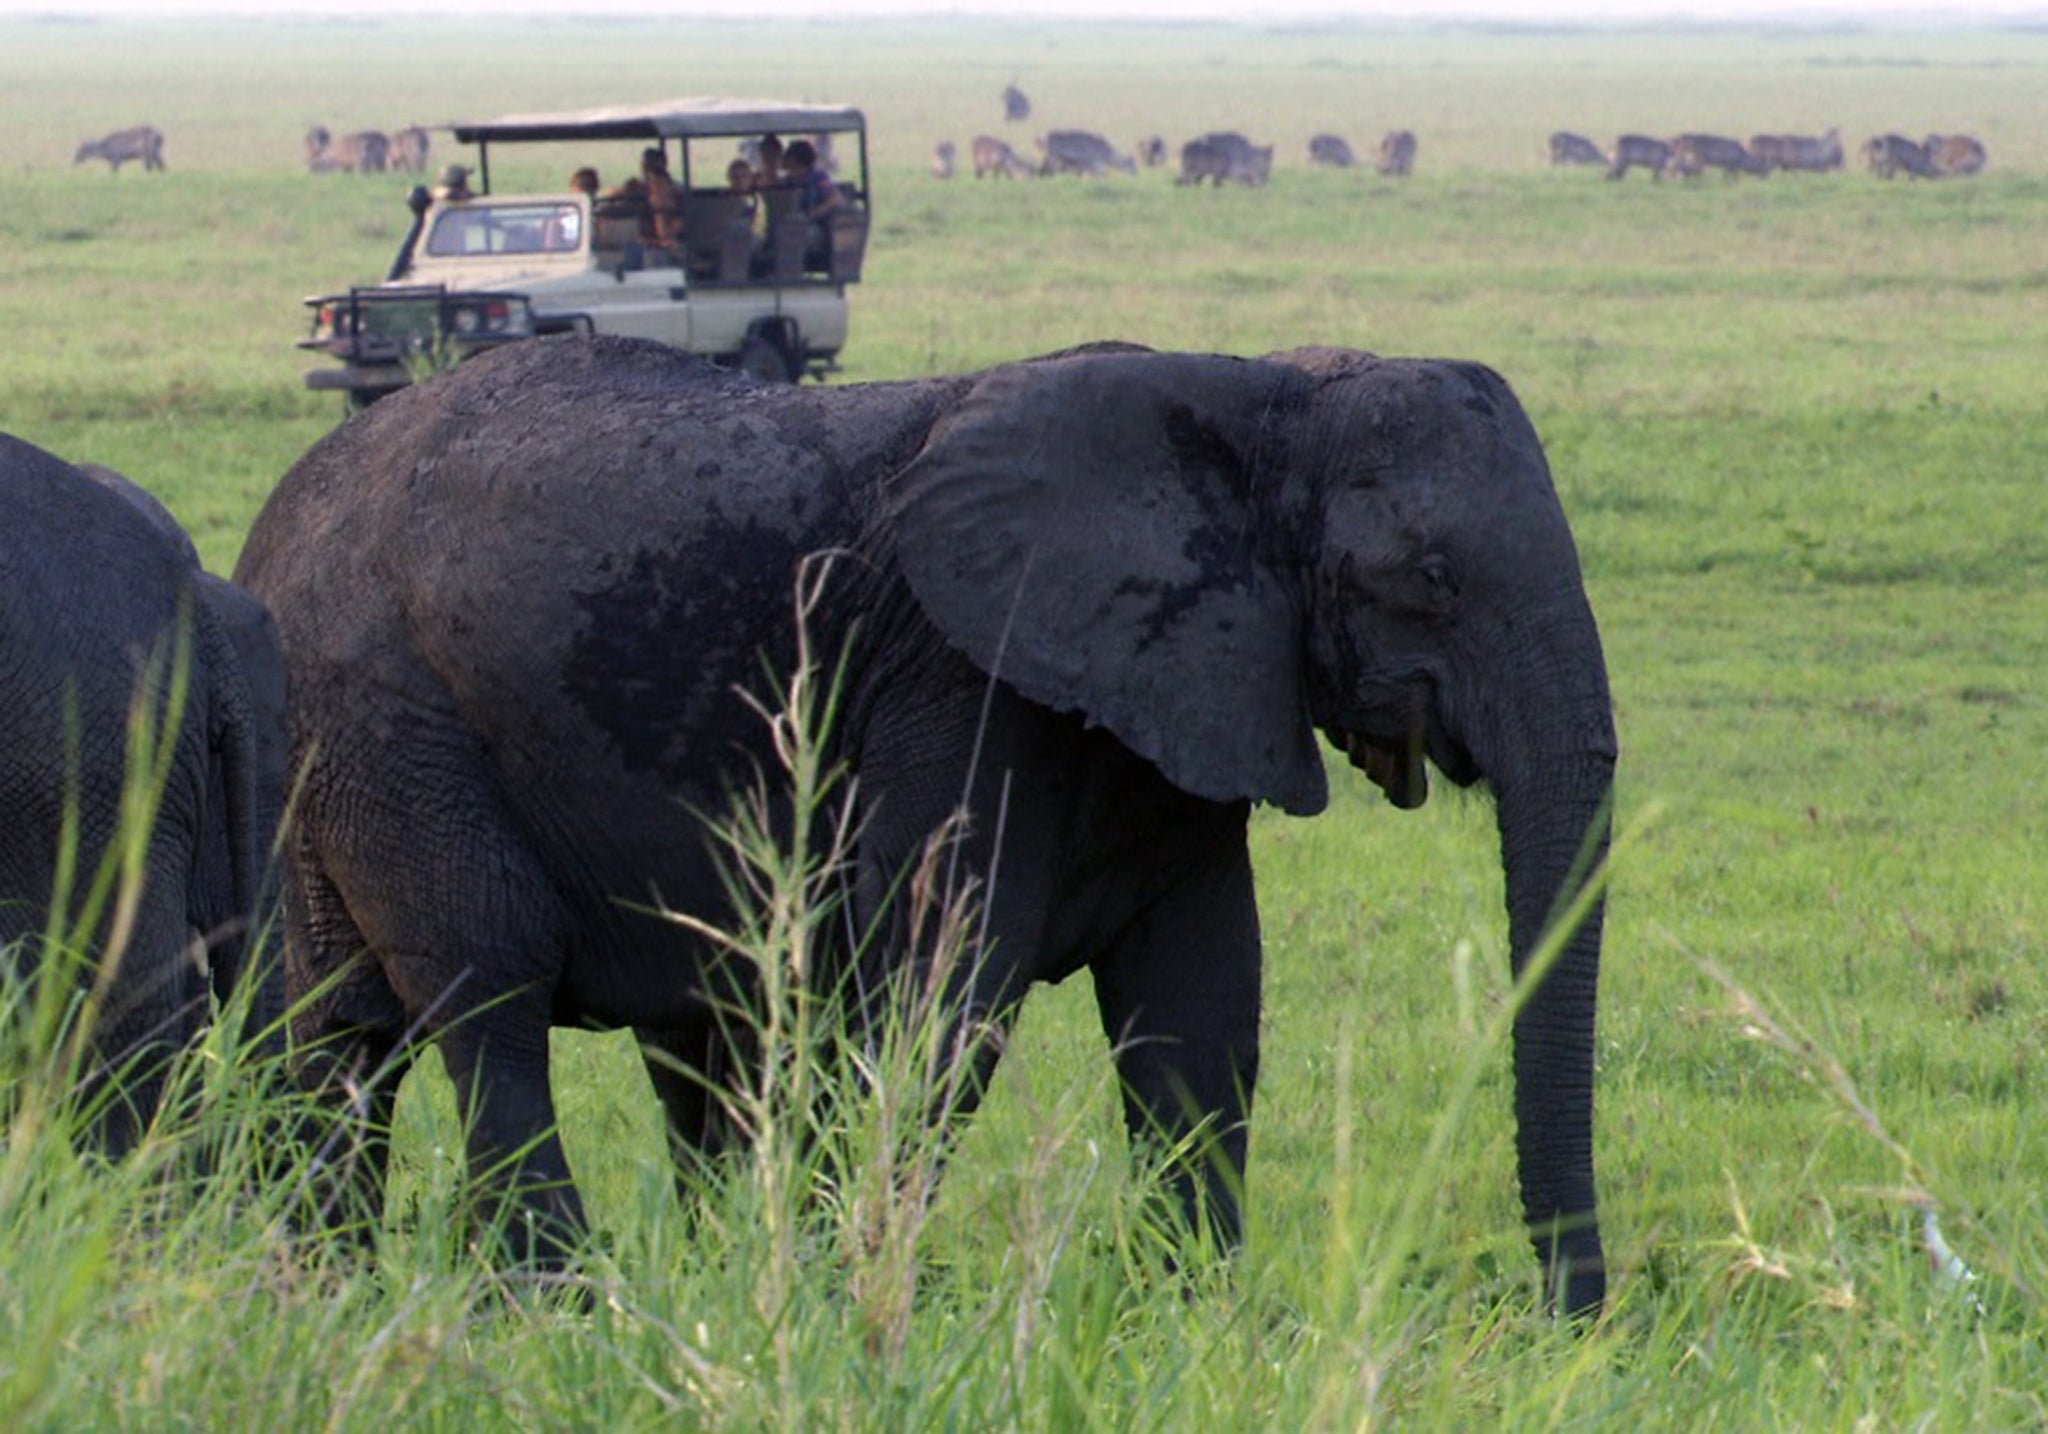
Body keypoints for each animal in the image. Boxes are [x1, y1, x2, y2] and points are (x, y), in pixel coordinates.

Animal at [235, 333, 1613, 1311]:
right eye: (1430, 580)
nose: (1565, 1320)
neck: (1259, 398)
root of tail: (272, 527)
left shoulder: (1178, 695)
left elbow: (1199, 1012)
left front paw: (1190, 1318)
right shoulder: (966, 685)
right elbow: (939, 1001)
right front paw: (846, 1298)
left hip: (333, 749)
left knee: (343, 1030)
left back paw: (322, 1292)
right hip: (395, 716)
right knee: (489, 987)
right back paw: (555, 1303)